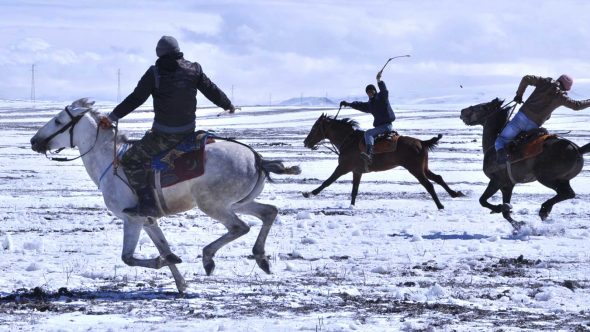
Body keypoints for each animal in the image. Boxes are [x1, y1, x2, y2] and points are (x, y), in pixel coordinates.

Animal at [30, 98, 302, 294]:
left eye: (58, 121)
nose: (34, 141)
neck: (111, 160)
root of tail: (257, 159)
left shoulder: (132, 219)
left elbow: (128, 258)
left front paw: (166, 264)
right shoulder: (148, 220)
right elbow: (164, 248)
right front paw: (181, 283)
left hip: (214, 205)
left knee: (240, 227)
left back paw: (209, 258)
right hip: (239, 202)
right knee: (269, 212)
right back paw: (261, 258)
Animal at [302, 113, 464, 208]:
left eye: (315, 127)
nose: (306, 142)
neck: (348, 141)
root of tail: (421, 142)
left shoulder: (343, 167)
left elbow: (327, 182)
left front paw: (309, 193)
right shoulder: (356, 171)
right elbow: (354, 190)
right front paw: (352, 206)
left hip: (415, 169)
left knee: (429, 185)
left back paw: (440, 205)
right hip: (423, 167)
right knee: (438, 178)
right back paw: (455, 193)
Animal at [462, 97, 590, 230]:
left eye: (483, 107)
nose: (462, 111)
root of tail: (577, 149)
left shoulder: (497, 181)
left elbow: (482, 200)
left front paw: (499, 208)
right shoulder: (507, 186)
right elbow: (505, 213)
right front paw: (518, 224)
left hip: (546, 178)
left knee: (567, 193)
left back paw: (544, 209)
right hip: (563, 179)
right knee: (568, 193)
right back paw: (545, 210)